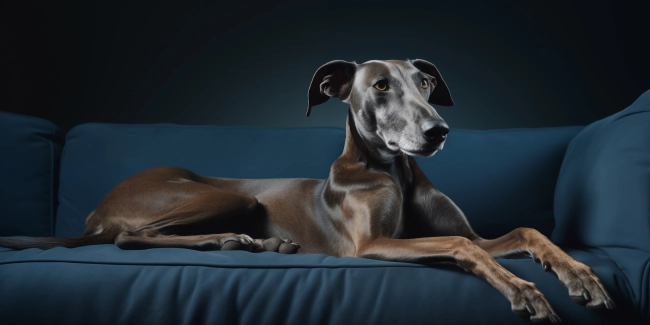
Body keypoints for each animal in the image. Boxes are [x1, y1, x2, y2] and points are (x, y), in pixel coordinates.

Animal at [0, 58, 612, 322]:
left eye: (425, 82)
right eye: (380, 85)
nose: (437, 132)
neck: (392, 171)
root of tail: (95, 214)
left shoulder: (480, 236)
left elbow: (525, 232)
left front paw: (579, 275)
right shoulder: (369, 248)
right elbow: (462, 248)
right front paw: (523, 290)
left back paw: (254, 244)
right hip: (226, 195)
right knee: (131, 239)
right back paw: (239, 242)